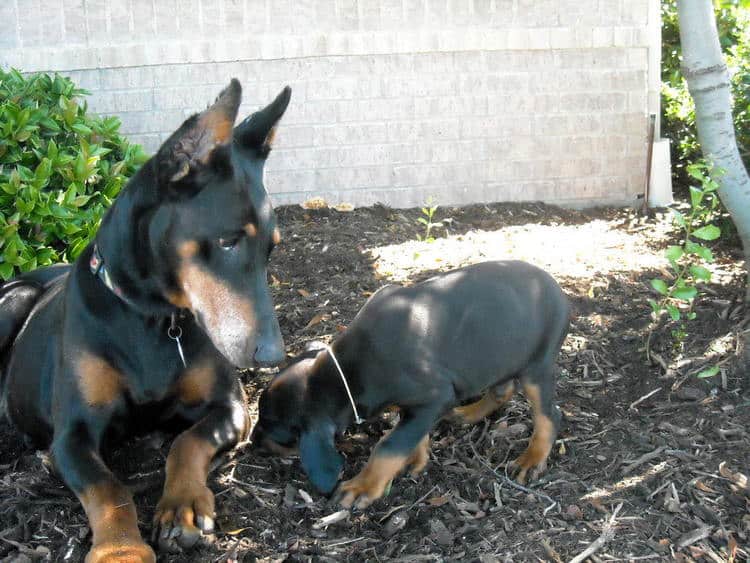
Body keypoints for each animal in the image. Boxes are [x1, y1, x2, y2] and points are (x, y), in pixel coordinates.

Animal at [0, 80, 290, 563]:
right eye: (228, 241)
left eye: (271, 248)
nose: (272, 355)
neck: (153, 317)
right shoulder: (72, 434)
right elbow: (108, 487)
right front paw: (120, 550)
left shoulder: (231, 406)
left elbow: (186, 442)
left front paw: (183, 509)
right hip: (13, 299)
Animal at [256, 262, 572, 508]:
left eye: (277, 431)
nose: (252, 443)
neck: (346, 372)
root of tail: (558, 290)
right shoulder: (418, 407)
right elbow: (409, 433)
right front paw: (416, 459)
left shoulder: (434, 397)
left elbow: (389, 445)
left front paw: (362, 487)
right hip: (502, 356)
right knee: (502, 389)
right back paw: (467, 413)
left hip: (536, 367)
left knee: (549, 415)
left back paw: (531, 459)